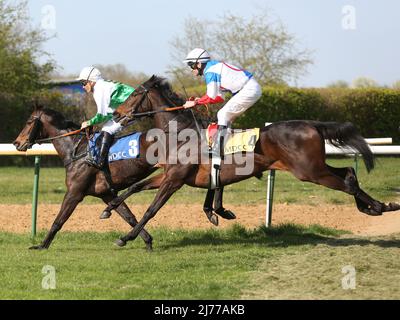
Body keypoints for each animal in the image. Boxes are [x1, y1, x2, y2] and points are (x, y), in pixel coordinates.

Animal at [11, 107, 159, 250]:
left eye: (29, 122)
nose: (16, 143)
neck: (77, 152)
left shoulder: (74, 193)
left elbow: (58, 221)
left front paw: (42, 245)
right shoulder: (106, 194)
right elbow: (128, 216)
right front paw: (147, 241)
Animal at [102, 75, 400, 248]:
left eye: (133, 94)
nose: (115, 113)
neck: (181, 134)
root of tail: (312, 124)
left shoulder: (174, 180)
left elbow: (152, 209)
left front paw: (126, 237)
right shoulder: (169, 176)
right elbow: (134, 188)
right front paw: (109, 208)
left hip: (309, 171)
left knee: (348, 183)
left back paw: (380, 206)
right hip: (315, 167)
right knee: (348, 172)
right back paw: (374, 206)